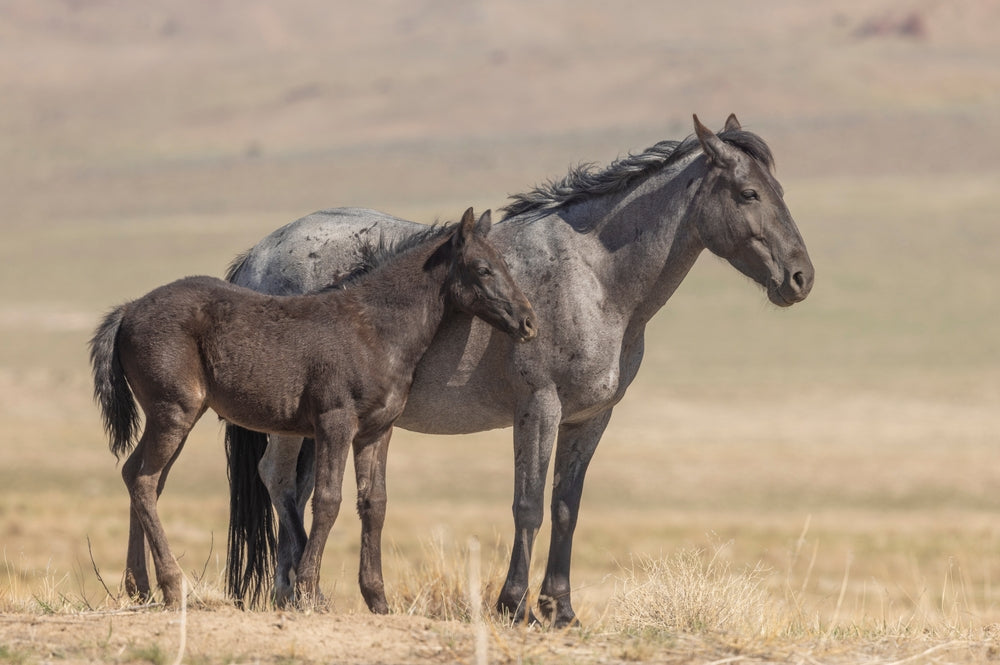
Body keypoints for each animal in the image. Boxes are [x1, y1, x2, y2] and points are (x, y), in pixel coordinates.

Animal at [89, 208, 537, 608]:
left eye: (505, 265)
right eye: (483, 269)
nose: (529, 322)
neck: (374, 329)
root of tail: (128, 310)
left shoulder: (378, 430)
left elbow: (374, 503)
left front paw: (377, 599)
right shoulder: (335, 423)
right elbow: (328, 500)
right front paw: (308, 590)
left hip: (175, 416)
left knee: (139, 476)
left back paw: (140, 587)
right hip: (174, 412)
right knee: (144, 480)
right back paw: (171, 585)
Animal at [224, 114, 815, 625]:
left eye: (781, 191)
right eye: (748, 193)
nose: (801, 277)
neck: (594, 278)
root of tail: (258, 254)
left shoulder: (590, 418)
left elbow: (565, 506)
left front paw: (561, 609)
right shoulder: (539, 408)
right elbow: (528, 504)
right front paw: (515, 605)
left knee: (296, 491)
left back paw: (295, 590)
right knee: (278, 481)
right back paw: (299, 593)